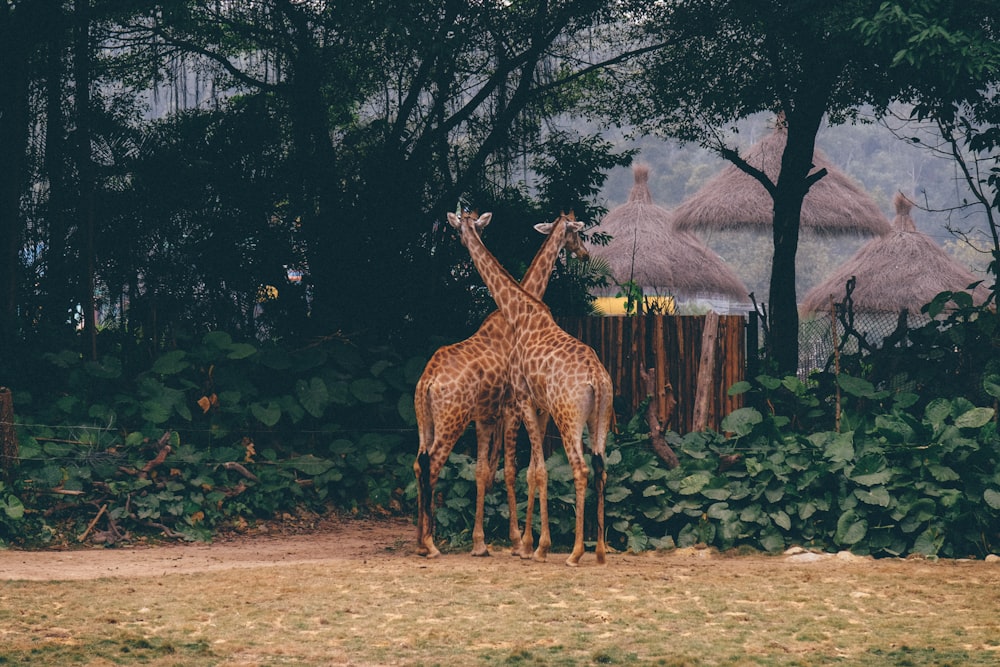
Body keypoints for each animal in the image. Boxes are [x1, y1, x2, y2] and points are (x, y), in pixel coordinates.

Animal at [412, 213, 584, 560]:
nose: (585, 255)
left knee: (418, 463)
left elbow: (483, 473)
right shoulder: (510, 409)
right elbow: (510, 471)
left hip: (429, 423)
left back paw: (421, 540)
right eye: (576, 234)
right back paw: (430, 544)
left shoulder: (487, 415)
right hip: (452, 421)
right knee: (432, 465)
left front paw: (481, 543)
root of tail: (427, 380)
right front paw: (519, 542)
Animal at [448, 211, 616, 568]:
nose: (584, 255)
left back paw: (574, 552)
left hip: (566, 419)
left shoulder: (526, 402)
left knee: (577, 469)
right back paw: (597, 550)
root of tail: (597, 379)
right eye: (576, 235)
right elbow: (531, 471)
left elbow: (531, 471)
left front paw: (531, 544)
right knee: (599, 469)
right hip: (597, 419)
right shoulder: (535, 408)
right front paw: (532, 543)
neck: (521, 311)